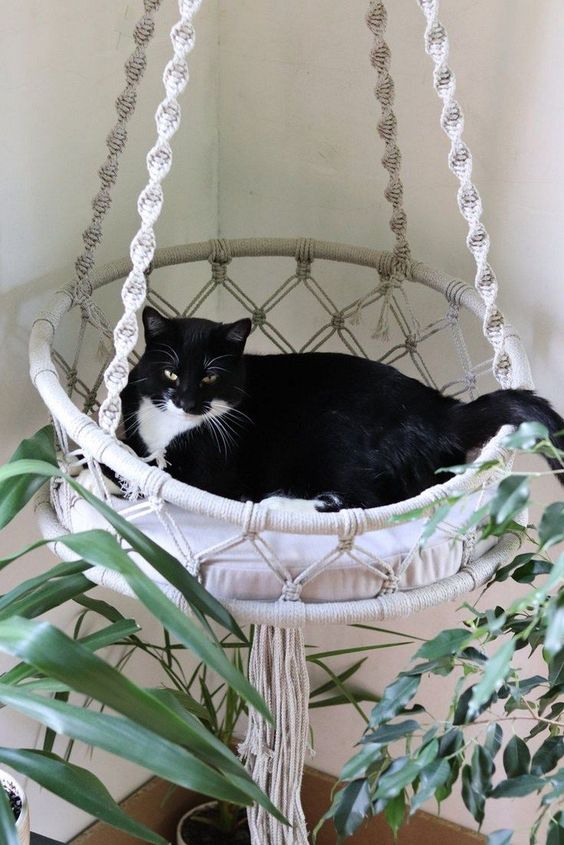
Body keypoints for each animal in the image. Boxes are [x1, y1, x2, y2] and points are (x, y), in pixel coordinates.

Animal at [112, 306, 560, 512]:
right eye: (170, 372)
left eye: (209, 378)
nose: (187, 403)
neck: (169, 427)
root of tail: (444, 413)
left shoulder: (211, 470)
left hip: (330, 437)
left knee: (368, 500)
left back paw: (276, 503)